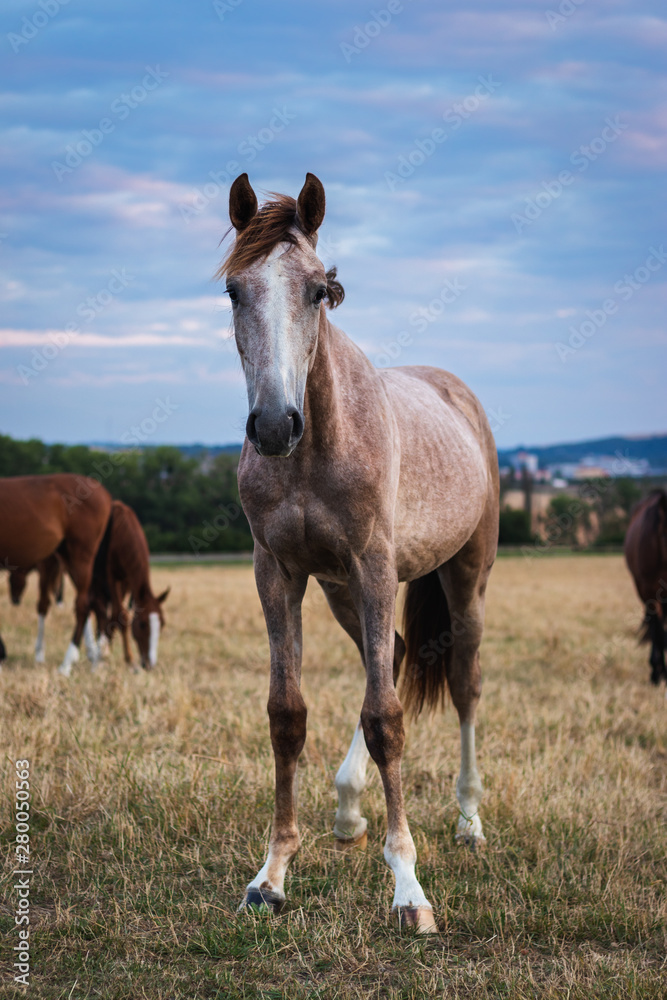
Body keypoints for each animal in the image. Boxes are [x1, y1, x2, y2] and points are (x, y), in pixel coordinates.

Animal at [0, 474, 112, 676]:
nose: (15, 599)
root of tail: (105, 494)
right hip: (68, 557)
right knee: (96, 603)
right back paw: (97, 660)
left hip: (80, 556)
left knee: (83, 605)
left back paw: (67, 663)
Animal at [89, 500, 170, 672]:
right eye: (142, 624)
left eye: (162, 623)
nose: (149, 664)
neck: (121, 532)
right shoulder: (111, 577)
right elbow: (123, 616)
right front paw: (130, 659)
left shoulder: (126, 580)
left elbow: (116, 616)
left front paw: (107, 650)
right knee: (96, 608)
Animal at [220, 172, 500, 928]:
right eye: (234, 291)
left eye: (319, 289)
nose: (273, 425)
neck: (320, 441)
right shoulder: (278, 572)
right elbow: (286, 714)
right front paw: (272, 874)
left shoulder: (375, 568)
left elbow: (386, 718)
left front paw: (408, 888)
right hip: (340, 590)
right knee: (396, 653)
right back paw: (348, 811)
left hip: (463, 577)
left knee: (462, 680)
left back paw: (468, 821)